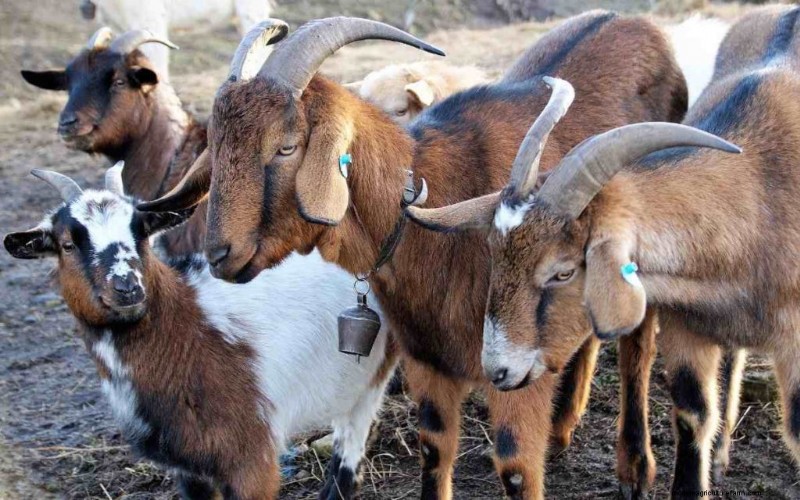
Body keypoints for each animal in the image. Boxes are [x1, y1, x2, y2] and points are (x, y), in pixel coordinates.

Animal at [4, 164, 395, 500]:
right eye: (67, 244)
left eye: (141, 233)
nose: (128, 288)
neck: (192, 330)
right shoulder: (188, 467)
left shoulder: (252, 459)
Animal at [405, 5, 800, 497]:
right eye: (494, 254)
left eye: (564, 271)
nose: (497, 371)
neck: (759, 194)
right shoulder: (688, 328)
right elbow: (692, 416)